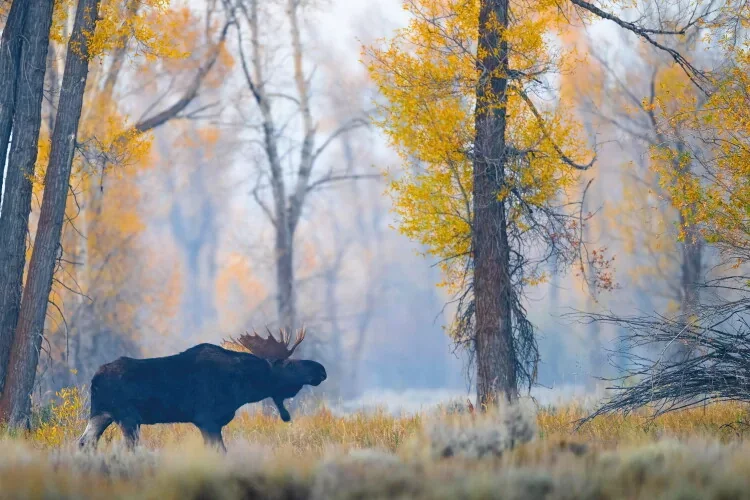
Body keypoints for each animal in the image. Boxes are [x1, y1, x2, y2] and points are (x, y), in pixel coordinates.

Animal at [78, 327, 326, 452]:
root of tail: (95, 378)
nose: (321, 369)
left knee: (84, 443)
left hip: (101, 414)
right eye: (289, 364)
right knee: (127, 448)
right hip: (128, 417)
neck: (243, 388)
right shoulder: (207, 419)